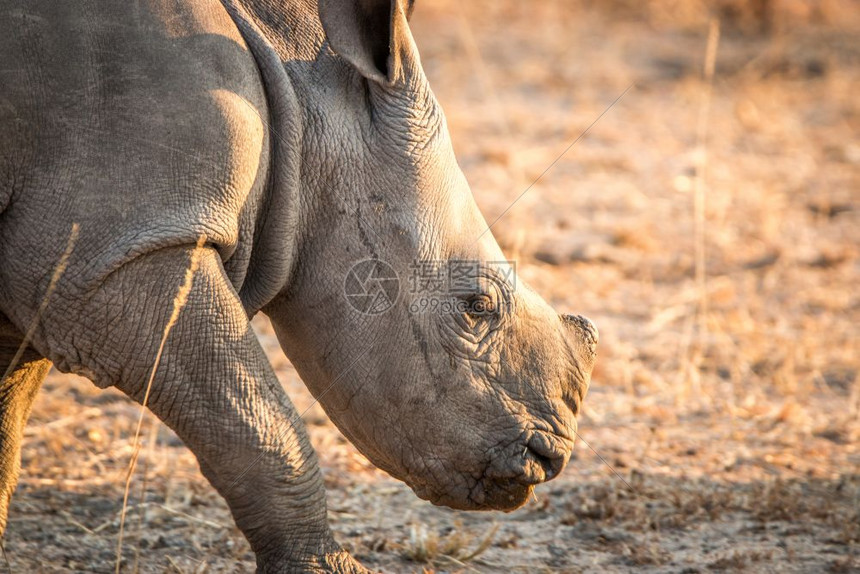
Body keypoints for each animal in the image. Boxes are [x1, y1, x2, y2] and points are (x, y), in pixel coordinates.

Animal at [0, 0, 596, 572]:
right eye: (477, 306)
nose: (547, 459)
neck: (298, 96)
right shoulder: (118, 253)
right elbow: (258, 422)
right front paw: (328, 567)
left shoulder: (60, 263)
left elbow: (6, 428)